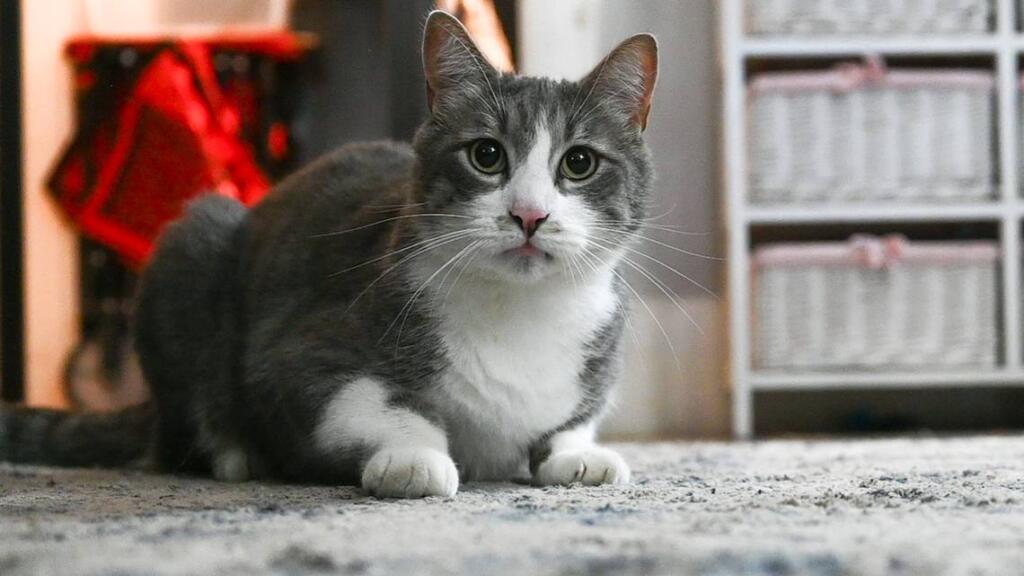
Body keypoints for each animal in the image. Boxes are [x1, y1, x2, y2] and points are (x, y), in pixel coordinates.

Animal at [2, 10, 655, 498]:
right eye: (487, 155)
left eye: (579, 162)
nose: (529, 215)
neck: (519, 311)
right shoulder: (303, 346)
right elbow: (362, 401)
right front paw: (412, 459)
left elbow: (569, 424)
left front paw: (580, 456)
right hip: (194, 244)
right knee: (184, 427)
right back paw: (236, 453)